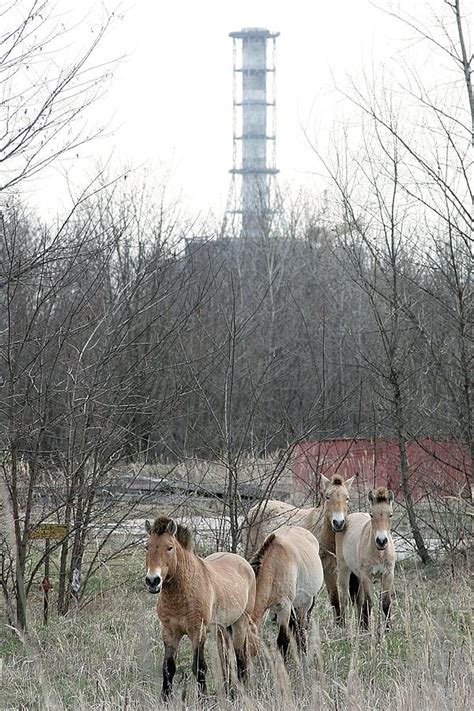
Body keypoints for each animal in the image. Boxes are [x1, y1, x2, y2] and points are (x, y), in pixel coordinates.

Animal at [144, 516, 256, 704]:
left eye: (169, 547)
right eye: (147, 546)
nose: (153, 581)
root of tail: (243, 562)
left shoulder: (198, 631)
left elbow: (199, 667)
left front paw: (203, 700)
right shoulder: (169, 632)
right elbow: (168, 667)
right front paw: (165, 699)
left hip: (240, 624)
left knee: (240, 659)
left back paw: (242, 694)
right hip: (222, 630)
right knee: (226, 661)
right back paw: (230, 693)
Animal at [250, 528, 324, 660]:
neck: (274, 567)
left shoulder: (284, 607)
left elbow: (282, 641)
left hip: (306, 603)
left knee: (302, 629)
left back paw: (303, 655)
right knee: (296, 629)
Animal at [336, 490, 398, 628]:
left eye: (391, 515)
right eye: (371, 515)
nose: (381, 541)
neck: (379, 553)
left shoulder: (388, 574)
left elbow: (386, 603)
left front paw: (388, 629)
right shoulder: (367, 575)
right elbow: (369, 603)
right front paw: (367, 629)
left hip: (358, 576)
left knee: (359, 600)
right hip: (344, 570)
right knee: (344, 598)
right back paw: (343, 625)